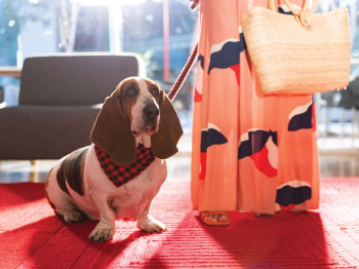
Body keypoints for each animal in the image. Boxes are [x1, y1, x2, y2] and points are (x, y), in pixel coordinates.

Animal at [45, 76, 183, 241]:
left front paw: (147, 224)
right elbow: (107, 213)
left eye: (155, 91)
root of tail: (57, 164)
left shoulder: (152, 193)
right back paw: (71, 214)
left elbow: (145, 209)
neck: (138, 152)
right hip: (58, 195)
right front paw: (104, 230)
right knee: (61, 209)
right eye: (130, 92)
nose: (153, 111)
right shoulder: (101, 195)